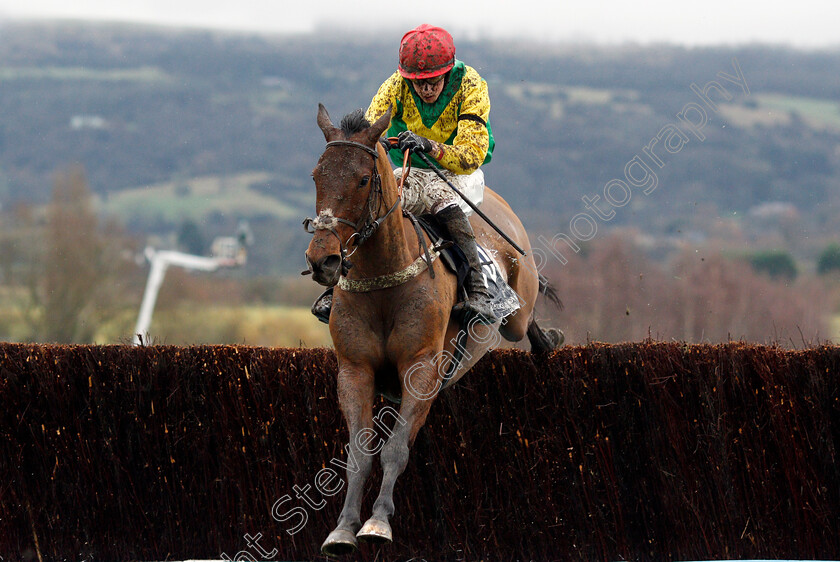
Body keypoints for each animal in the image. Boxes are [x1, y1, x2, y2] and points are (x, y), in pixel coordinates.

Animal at [306, 103, 560, 552]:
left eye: (363, 179)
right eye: (317, 175)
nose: (323, 260)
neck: (384, 279)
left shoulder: (422, 368)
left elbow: (395, 450)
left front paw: (377, 523)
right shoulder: (354, 370)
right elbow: (359, 453)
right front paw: (343, 529)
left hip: (517, 307)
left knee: (523, 319)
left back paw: (545, 338)